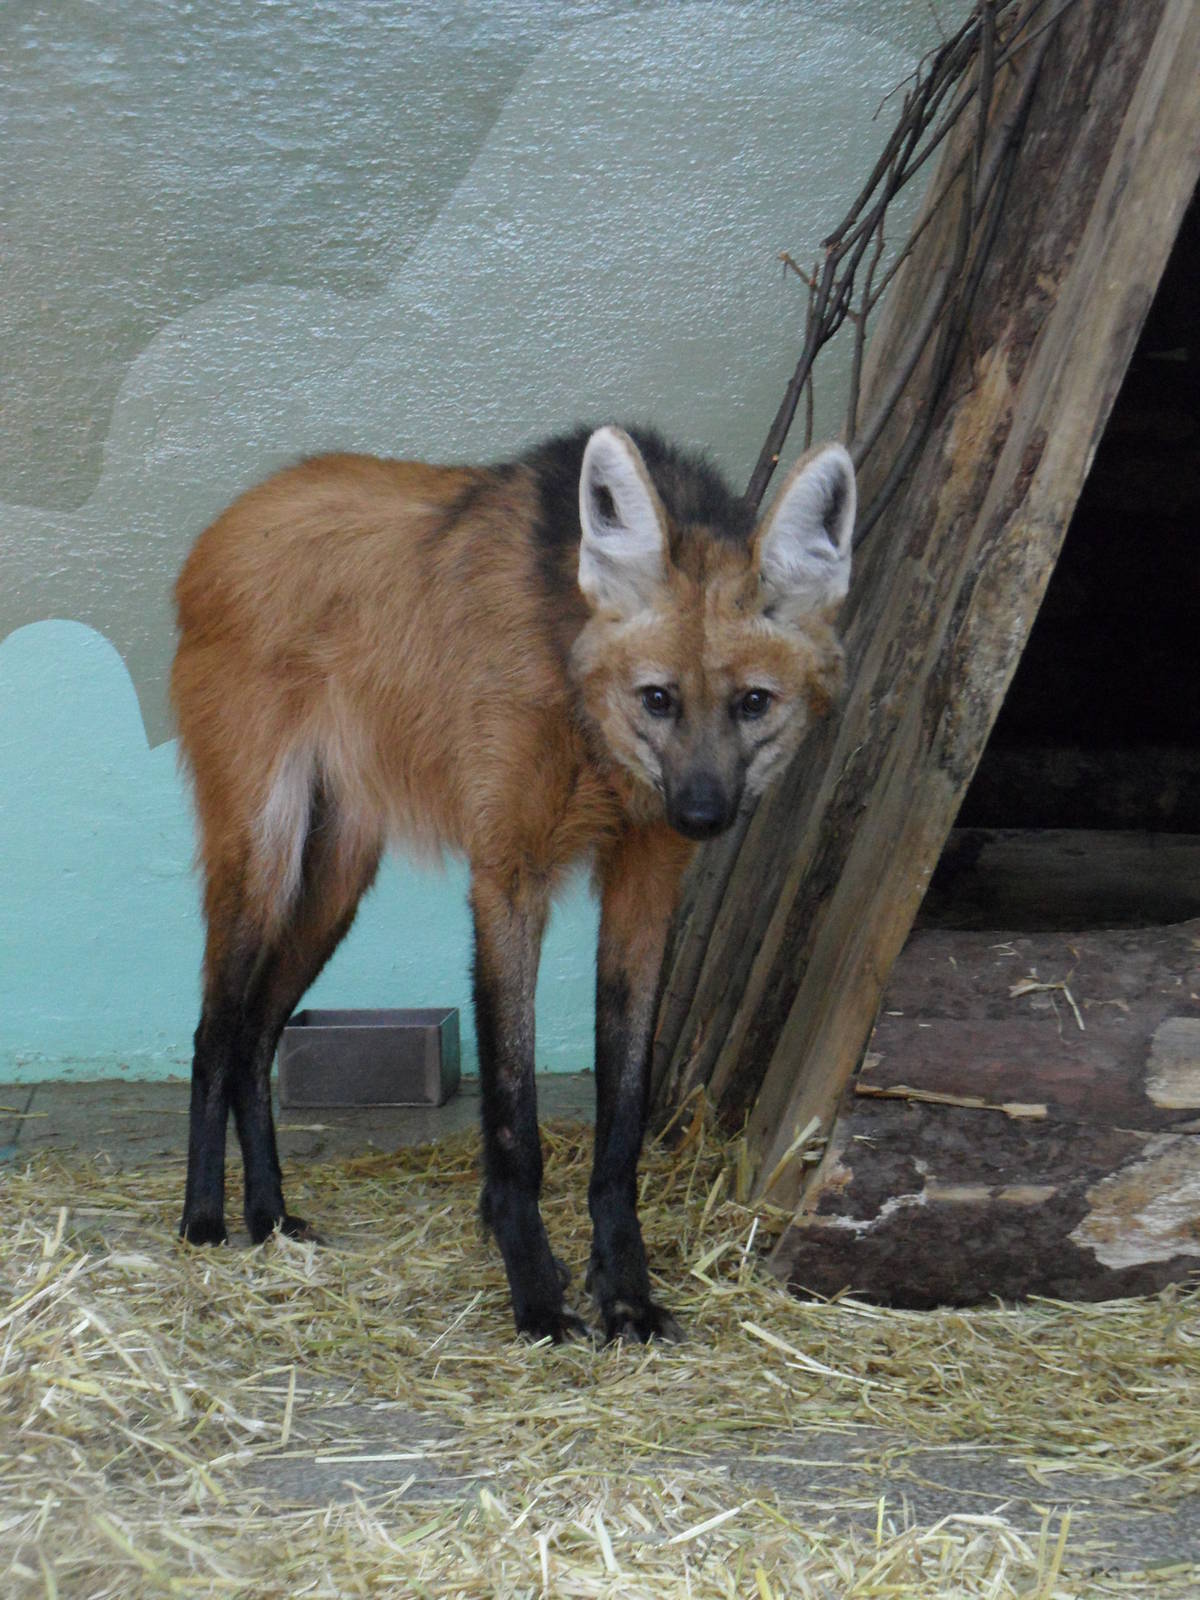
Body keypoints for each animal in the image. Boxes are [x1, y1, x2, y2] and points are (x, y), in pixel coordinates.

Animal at [171, 423, 855, 1343]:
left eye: (753, 702)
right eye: (658, 699)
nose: (703, 814)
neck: (580, 704)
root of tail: (227, 523)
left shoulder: (645, 882)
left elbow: (623, 1114)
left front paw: (626, 1293)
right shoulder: (508, 874)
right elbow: (511, 1110)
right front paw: (535, 1291)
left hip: (340, 875)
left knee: (256, 1036)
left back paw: (271, 1216)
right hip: (267, 852)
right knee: (216, 1032)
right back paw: (205, 1221)